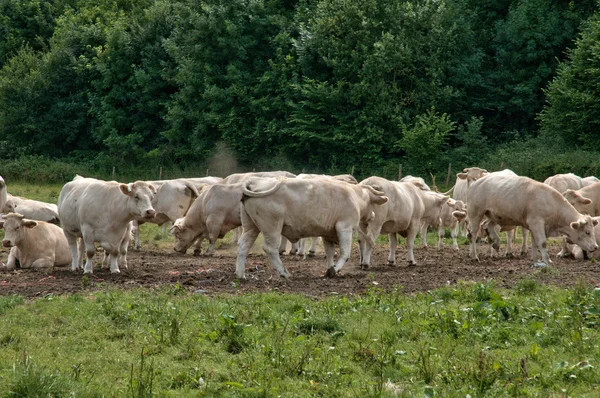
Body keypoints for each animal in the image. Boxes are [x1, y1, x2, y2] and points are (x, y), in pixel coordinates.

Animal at [237, 178, 386, 280]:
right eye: (373, 203)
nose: (373, 216)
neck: (355, 196)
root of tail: (254, 182)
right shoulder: (345, 228)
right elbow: (345, 253)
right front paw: (335, 270)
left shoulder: (328, 233)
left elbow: (330, 252)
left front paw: (329, 269)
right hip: (272, 227)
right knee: (270, 249)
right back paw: (285, 273)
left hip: (251, 227)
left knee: (243, 246)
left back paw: (240, 275)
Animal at [464, 169, 596, 264]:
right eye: (587, 232)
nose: (595, 247)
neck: (551, 203)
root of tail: (476, 182)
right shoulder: (536, 223)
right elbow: (542, 243)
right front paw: (547, 260)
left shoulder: (535, 226)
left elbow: (535, 243)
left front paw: (535, 260)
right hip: (476, 213)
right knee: (474, 234)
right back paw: (474, 256)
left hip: (493, 216)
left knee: (487, 226)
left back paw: (496, 242)